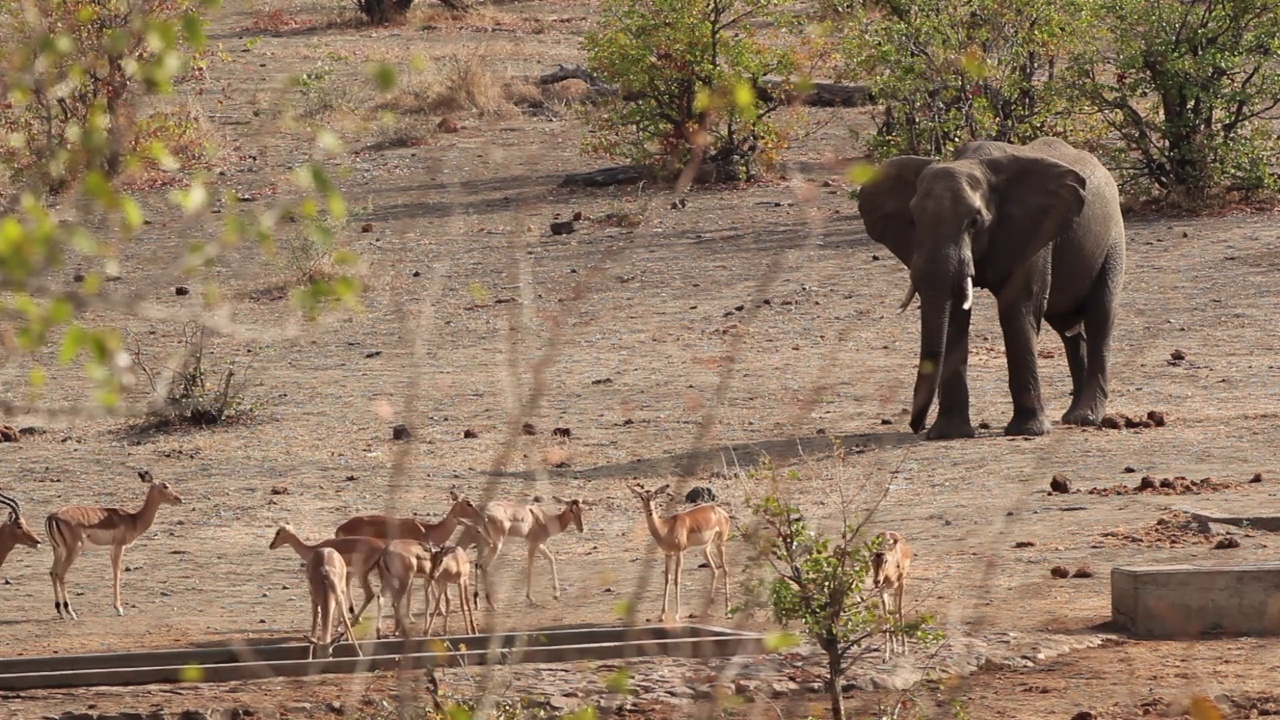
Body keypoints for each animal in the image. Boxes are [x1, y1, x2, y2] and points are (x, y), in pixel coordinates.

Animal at [860, 135, 1121, 438]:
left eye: (974, 222)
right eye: (913, 220)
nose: (916, 426)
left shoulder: (1033, 232)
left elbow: (1018, 308)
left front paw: (1028, 431)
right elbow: (956, 314)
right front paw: (949, 434)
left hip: (1113, 241)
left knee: (1100, 315)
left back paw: (1086, 417)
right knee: (1069, 326)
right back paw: (1071, 416)